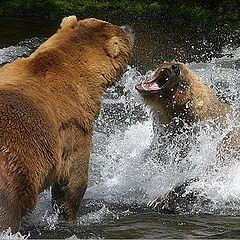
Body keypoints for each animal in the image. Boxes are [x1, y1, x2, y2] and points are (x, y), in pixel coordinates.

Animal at [0, 15, 133, 232]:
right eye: (121, 31)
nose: (130, 27)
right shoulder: (75, 127)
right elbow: (73, 178)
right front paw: (68, 217)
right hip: (12, 176)